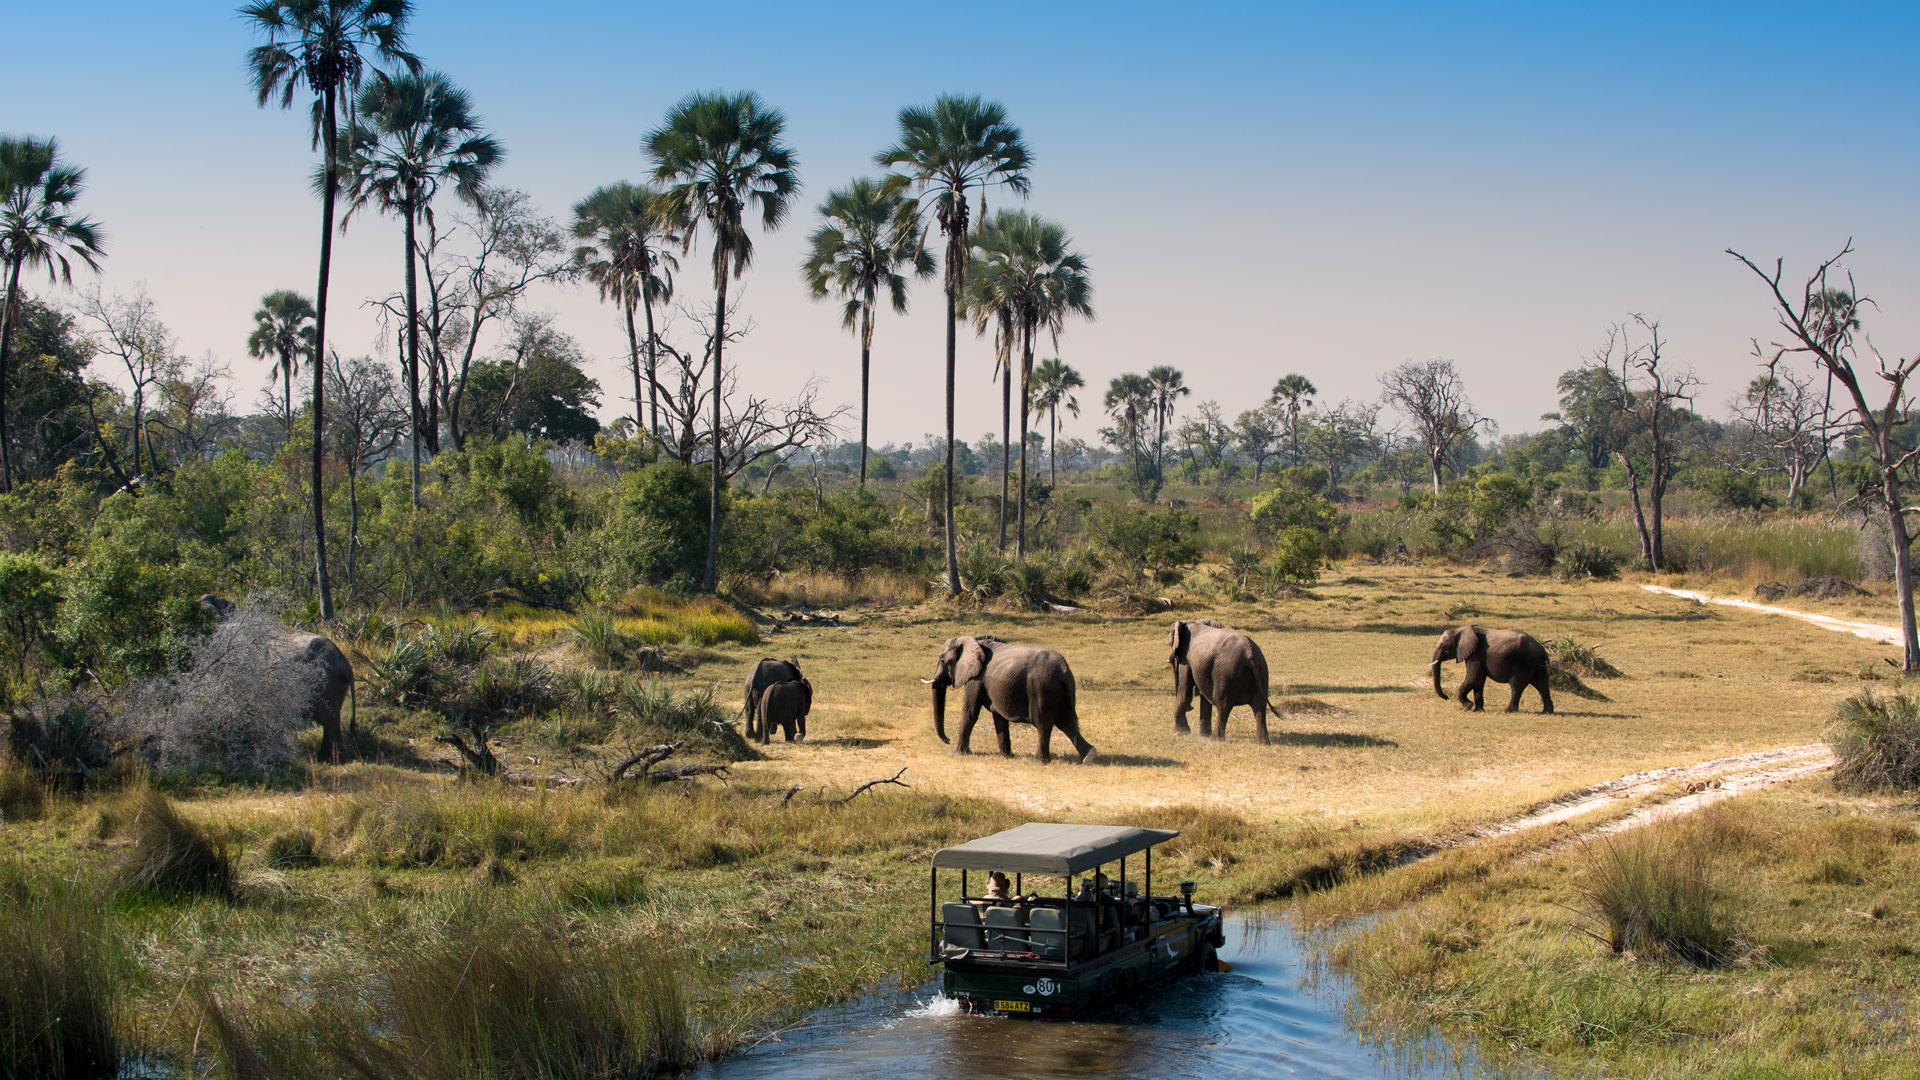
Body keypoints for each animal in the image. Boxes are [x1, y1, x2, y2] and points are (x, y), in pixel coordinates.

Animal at [925, 634, 1098, 760]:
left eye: (942, 661)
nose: (948, 740)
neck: (974, 639)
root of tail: (1063, 669)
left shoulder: (977, 678)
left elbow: (970, 712)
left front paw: (958, 754)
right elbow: (999, 717)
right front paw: (1005, 757)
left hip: (1041, 688)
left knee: (1043, 723)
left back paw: (1038, 760)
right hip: (1064, 690)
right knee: (1067, 722)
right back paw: (1089, 757)